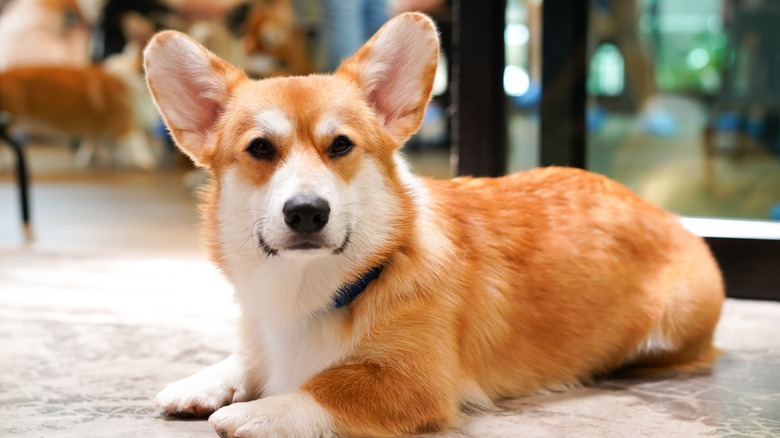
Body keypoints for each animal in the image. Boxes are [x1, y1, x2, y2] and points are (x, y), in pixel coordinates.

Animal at [145, 12, 724, 436]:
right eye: (260, 149)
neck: (319, 287)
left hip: (672, 324)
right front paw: (207, 382)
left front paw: (255, 412)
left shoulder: (413, 381)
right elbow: (248, 358)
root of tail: (665, 216)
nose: (307, 211)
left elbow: (325, 389)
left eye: (341, 146)